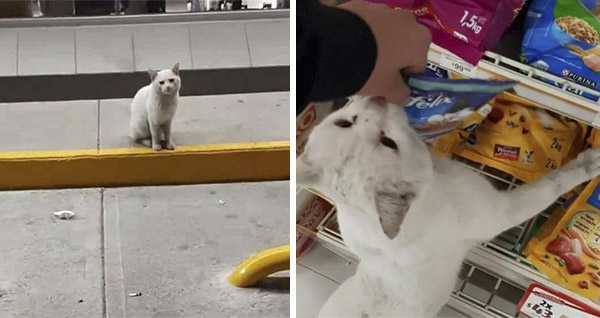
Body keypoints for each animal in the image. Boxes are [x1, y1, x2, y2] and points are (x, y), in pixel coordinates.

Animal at [298, 96, 600, 318]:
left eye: (343, 122)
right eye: (388, 143)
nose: (377, 99)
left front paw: (475, 111)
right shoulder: (502, 209)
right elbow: (554, 183)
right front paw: (589, 164)